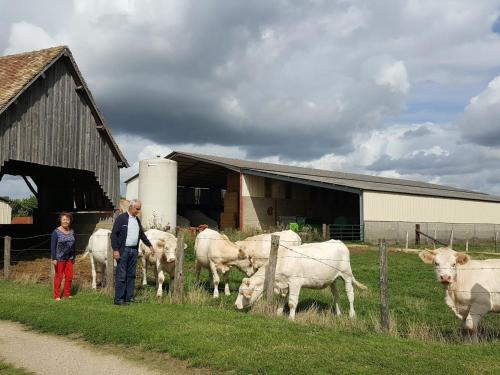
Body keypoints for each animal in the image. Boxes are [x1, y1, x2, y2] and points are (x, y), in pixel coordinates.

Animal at [234, 241, 368, 320]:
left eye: (242, 293)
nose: (235, 305)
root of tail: (339, 242)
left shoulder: (295, 283)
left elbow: (292, 302)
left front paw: (291, 318)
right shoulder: (285, 285)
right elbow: (283, 300)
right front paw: (278, 313)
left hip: (347, 275)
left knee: (350, 295)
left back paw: (352, 314)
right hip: (332, 280)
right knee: (336, 296)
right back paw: (339, 313)